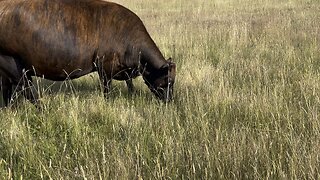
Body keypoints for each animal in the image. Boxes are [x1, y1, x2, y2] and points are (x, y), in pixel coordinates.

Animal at [0, 0, 176, 107]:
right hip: (11, 63)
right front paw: (107, 104)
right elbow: (107, 90)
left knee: (8, 91)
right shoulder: (104, 67)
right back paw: (43, 110)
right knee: (27, 91)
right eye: (168, 81)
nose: (170, 101)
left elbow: (130, 85)